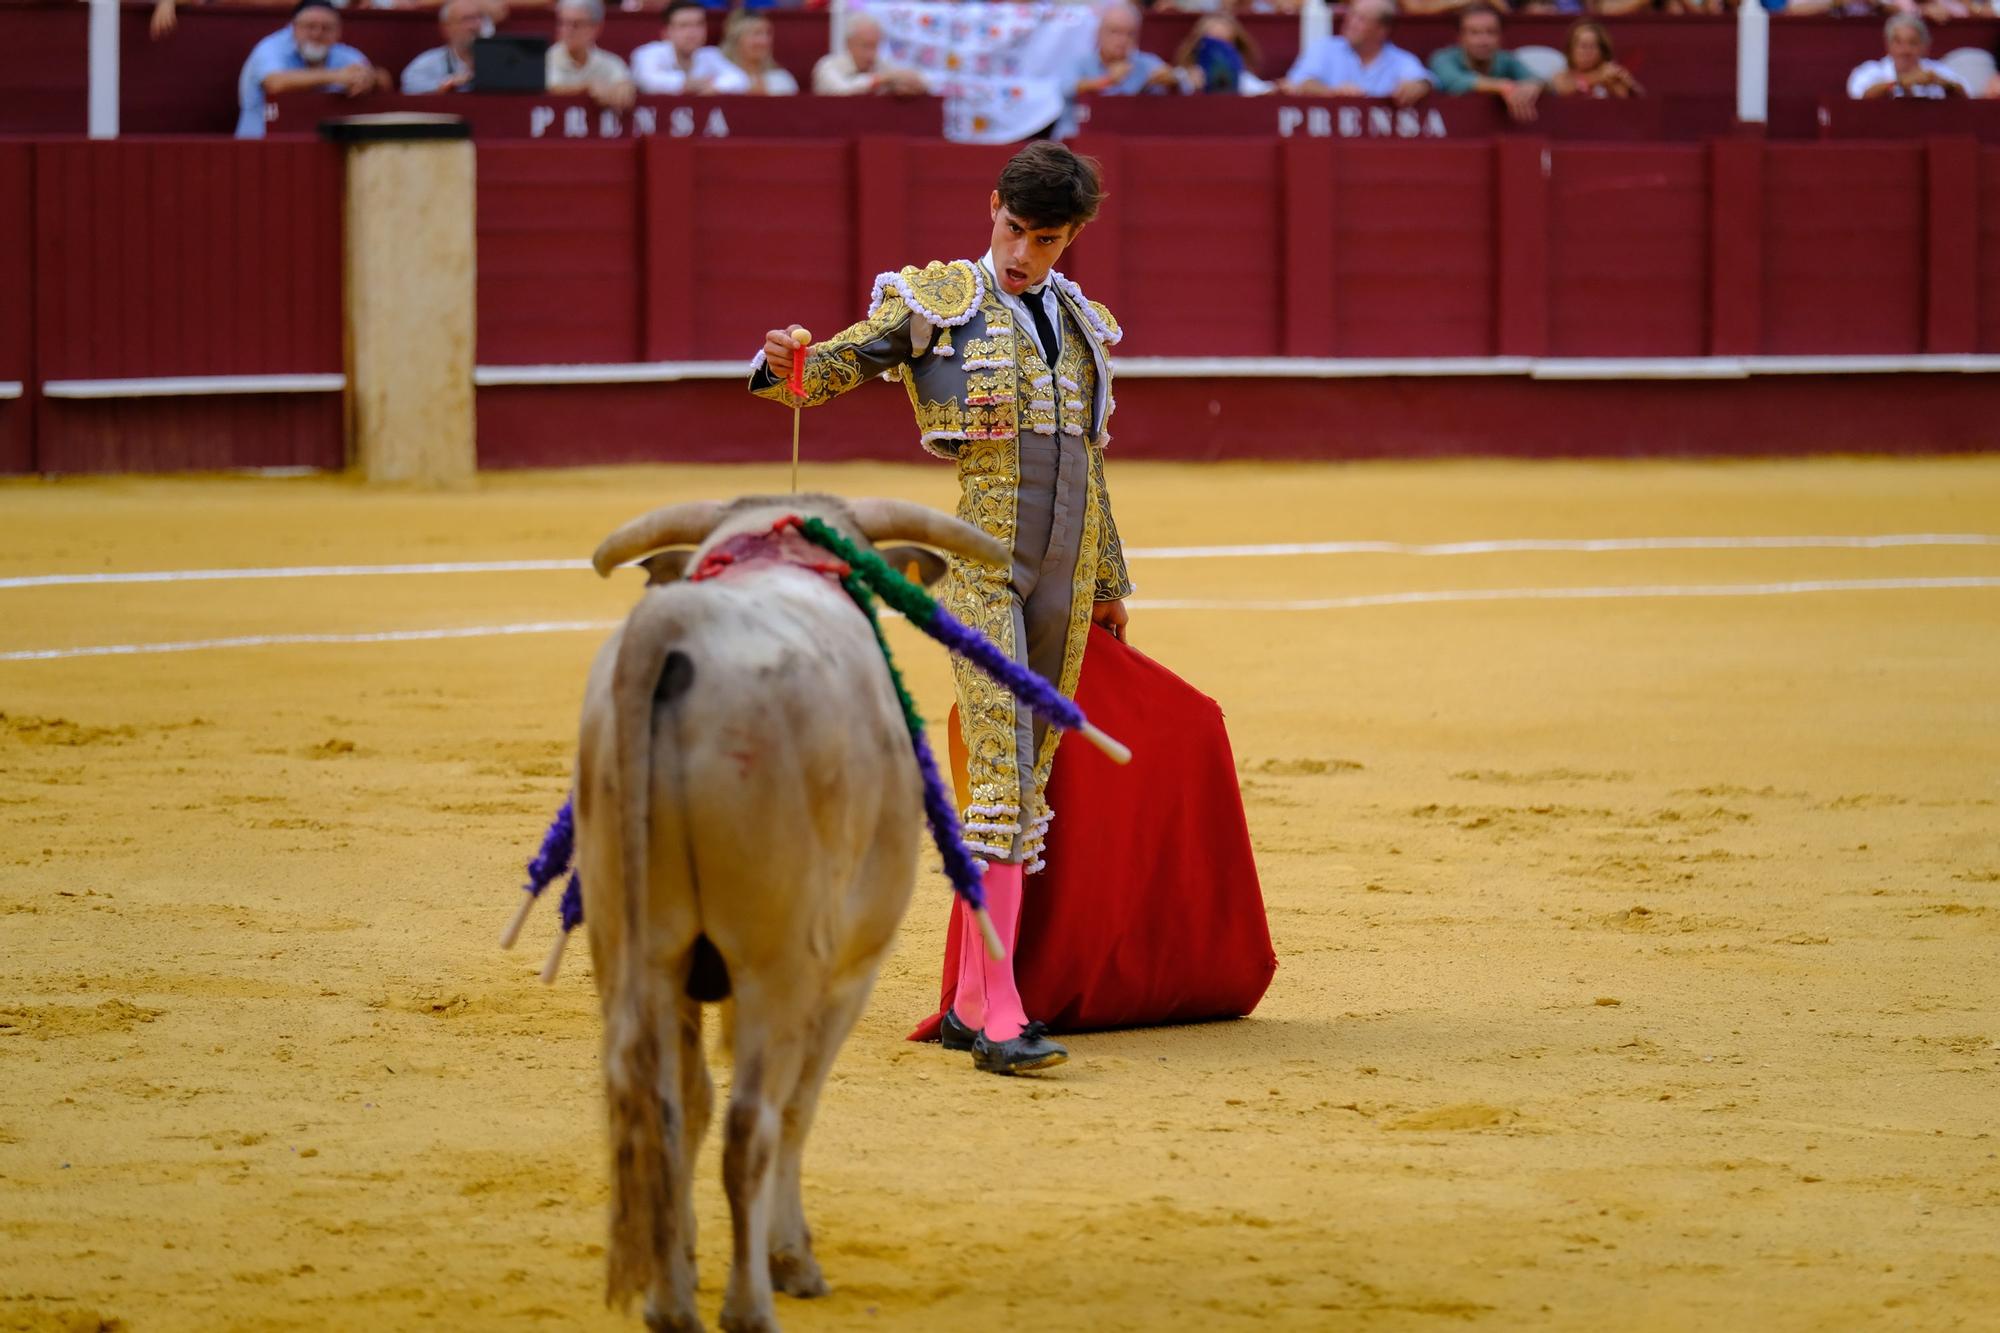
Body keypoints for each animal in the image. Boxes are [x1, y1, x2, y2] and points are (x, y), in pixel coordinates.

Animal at [572, 490, 1008, 1328]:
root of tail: (675, 632)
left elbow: (694, 1103)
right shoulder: (845, 972)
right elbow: (798, 1107)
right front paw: (790, 1256)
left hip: (632, 949)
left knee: (655, 1106)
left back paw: (669, 1302)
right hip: (774, 962)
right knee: (754, 1120)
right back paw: (750, 1303)